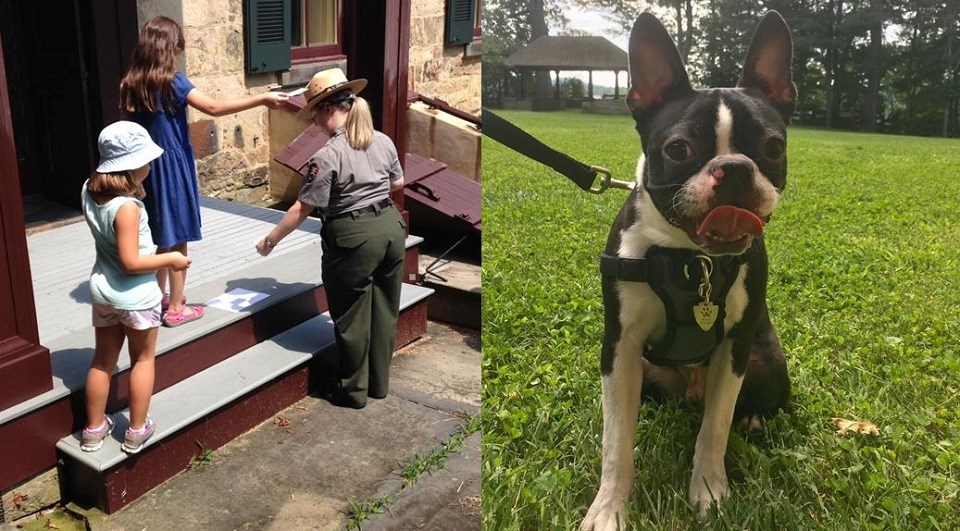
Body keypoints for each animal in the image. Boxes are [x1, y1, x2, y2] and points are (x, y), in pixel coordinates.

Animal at [584, 10, 796, 528]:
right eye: (678, 150)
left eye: (773, 146)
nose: (735, 167)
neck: (689, 257)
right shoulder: (620, 347)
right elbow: (616, 441)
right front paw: (610, 507)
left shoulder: (735, 347)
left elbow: (715, 428)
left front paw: (709, 491)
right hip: (644, 367)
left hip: (766, 359)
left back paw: (752, 419)